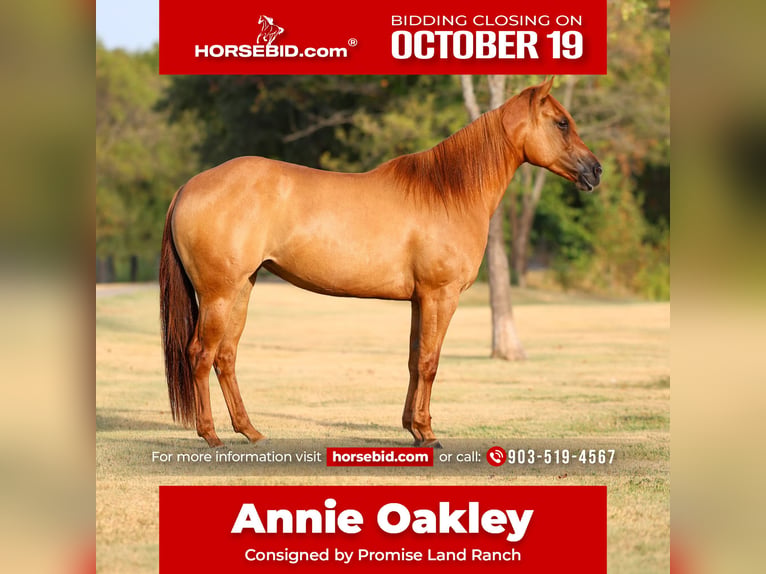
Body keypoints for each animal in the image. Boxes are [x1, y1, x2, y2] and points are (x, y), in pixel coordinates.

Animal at [159, 77, 602, 448]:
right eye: (562, 123)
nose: (596, 170)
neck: (448, 193)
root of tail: (189, 186)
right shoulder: (441, 296)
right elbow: (430, 362)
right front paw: (427, 434)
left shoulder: (420, 300)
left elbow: (413, 360)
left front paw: (413, 428)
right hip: (218, 294)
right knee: (200, 353)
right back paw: (211, 436)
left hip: (241, 289)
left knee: (226, 356)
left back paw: (250, 431)